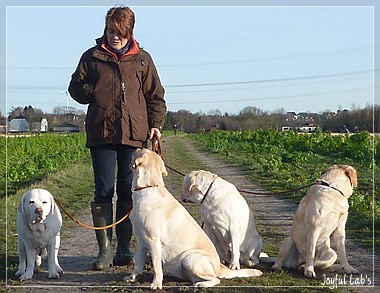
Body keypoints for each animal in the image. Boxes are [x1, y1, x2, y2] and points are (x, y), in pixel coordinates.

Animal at [123, 148, 262, 288]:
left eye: (139, 151)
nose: (135, 148)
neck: (147, 188)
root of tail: (219, 266)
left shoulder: (154, 241)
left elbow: (157, 267)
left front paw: (156, 284)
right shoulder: (141, 240)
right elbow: (138, 263)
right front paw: (132, 277)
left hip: (189, 258)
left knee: (216, 279)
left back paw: (201, 284)